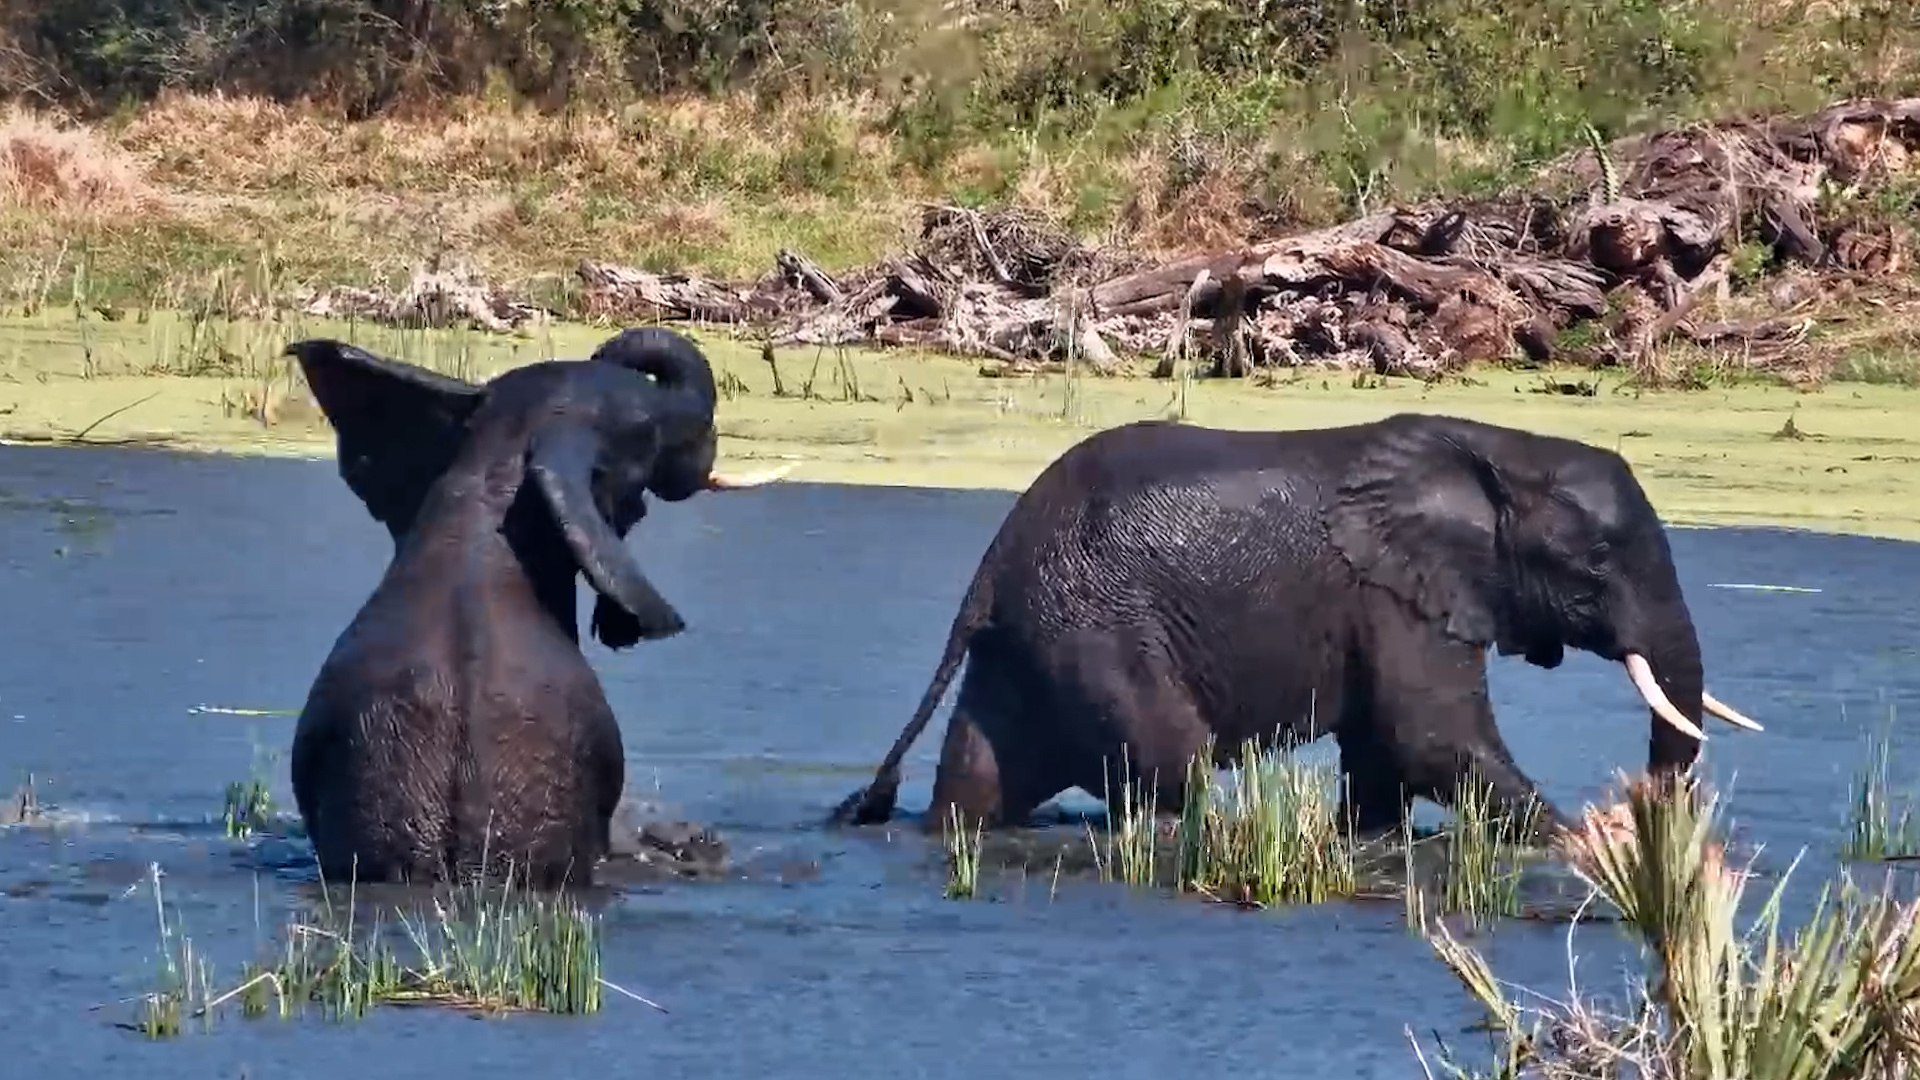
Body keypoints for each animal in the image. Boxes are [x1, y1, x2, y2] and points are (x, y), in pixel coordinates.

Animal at [831, 413, 1762, 841]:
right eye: (1599, 561)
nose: (1641, 811)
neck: (1501, 449)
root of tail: (992, 565)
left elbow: (1387, 757)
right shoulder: (1394, 593)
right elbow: (1429, 736)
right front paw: (1586, 848)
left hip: (1033, 639)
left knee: (979, 780)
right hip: (1095, 626)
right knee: (1173, 767)